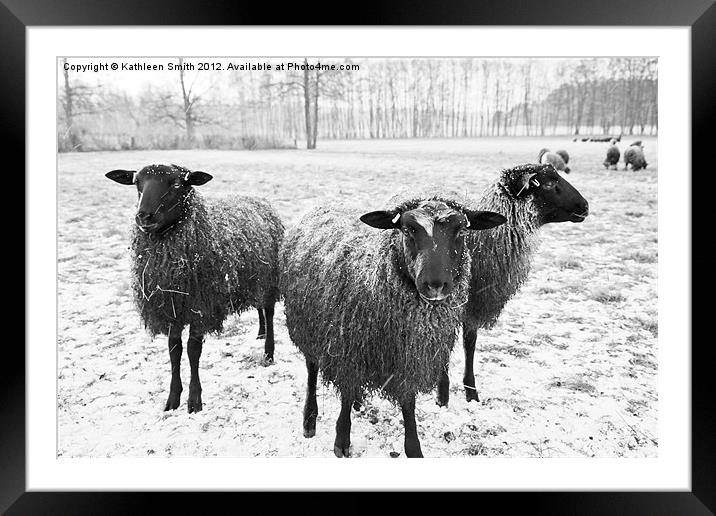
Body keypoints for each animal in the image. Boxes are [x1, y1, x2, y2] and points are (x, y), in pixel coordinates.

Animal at [106, 163, 286, 414]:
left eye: (177, 184)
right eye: (136, 183)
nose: (143, 216)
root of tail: (259, 199)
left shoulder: (200, 308)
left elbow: (192, 351)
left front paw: (194, 401)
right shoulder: (171, 308)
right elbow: (174, 350)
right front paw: (172, 399)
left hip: (269, 279)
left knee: (268, 311)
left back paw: (268, 352)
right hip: (253, 279)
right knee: (259, 307)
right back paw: (260, 332)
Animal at [282, 200, 506, 458]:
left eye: (461, 231)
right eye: (407, 230)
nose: (435, 285)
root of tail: (325, 203)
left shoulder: (407, 359)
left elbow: (408, 403)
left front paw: (414, 448)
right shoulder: (348, 351)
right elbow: (345, 395)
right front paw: (342, 440)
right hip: (307, 327)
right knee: (311, 370)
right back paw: (309, 420)